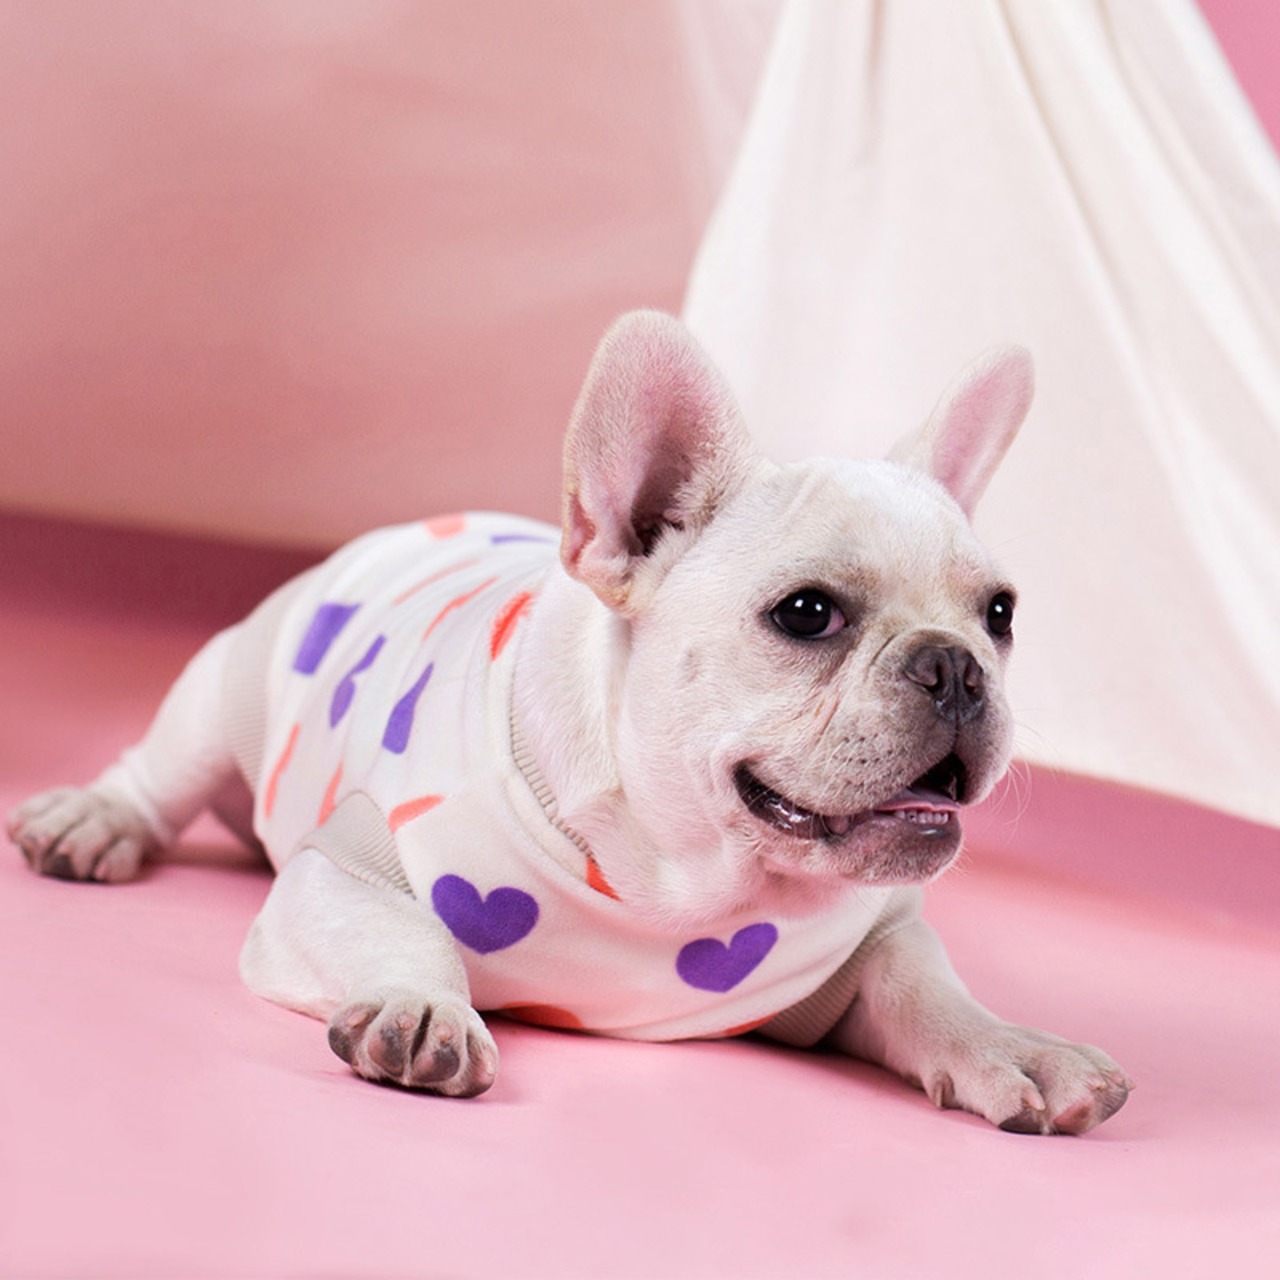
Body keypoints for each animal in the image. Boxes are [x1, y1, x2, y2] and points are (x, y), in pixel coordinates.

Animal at [8, 311, 1131, 1133]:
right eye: (807, 613)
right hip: (225, 686)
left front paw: (1011, 1045)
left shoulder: (872, 943)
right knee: (158, 772)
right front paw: (424, 1003)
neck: (682, 882)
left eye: (1000, 614)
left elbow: (924, 988)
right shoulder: (339, 873)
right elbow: (400, 929)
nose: (954, 665)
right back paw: (94, 822)